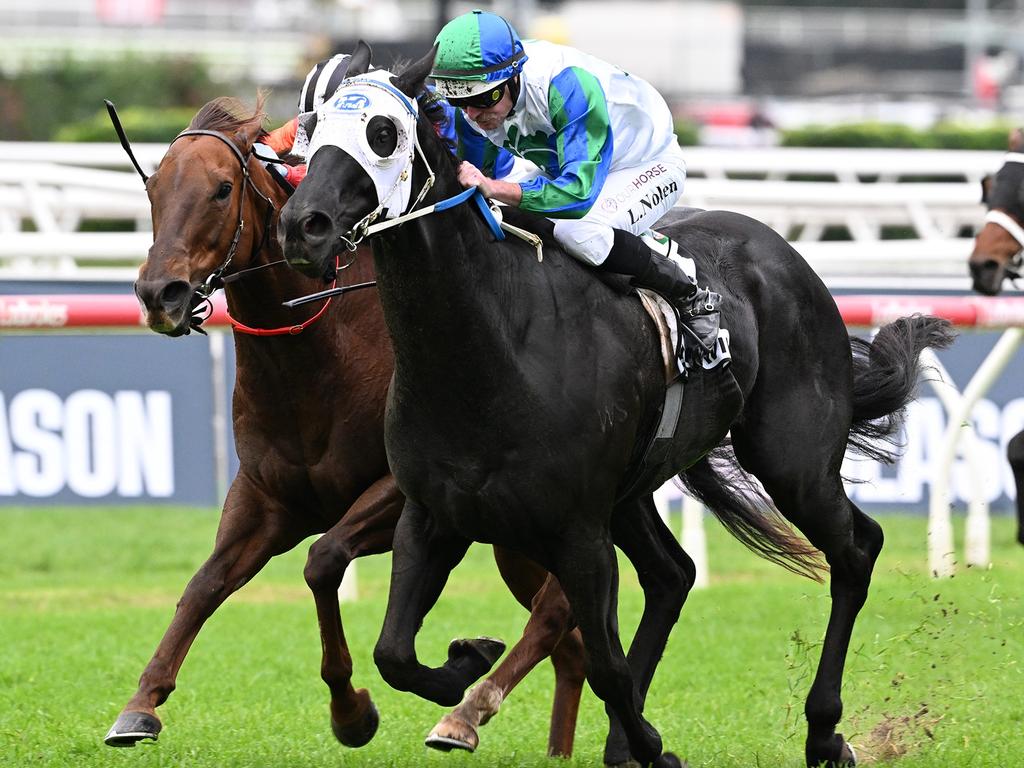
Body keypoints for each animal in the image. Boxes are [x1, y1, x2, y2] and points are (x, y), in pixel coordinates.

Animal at [105, 93, 593, 753]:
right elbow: (204, 585)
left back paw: (468, 711)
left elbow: (323, 559)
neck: (320, 356)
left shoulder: (401, 494)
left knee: (556, 615)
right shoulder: (264, 497)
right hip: (515, 539)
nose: (162, 293)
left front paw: (355, 709)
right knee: (573, 647)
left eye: (222, 189)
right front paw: (141, 704)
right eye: (154, 188)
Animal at [278, 45, 950, 765]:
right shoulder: (432, 516)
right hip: (631, 491)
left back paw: (824, 731)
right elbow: (394, 653)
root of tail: (787, 255)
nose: (302, 226)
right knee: (673, 574)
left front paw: (650, 743)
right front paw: (466, 666)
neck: (488, 353)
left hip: (791, 458)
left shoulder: (576, 532)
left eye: (383, 132)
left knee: (854, 549)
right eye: (312, 128)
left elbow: (605, 665)